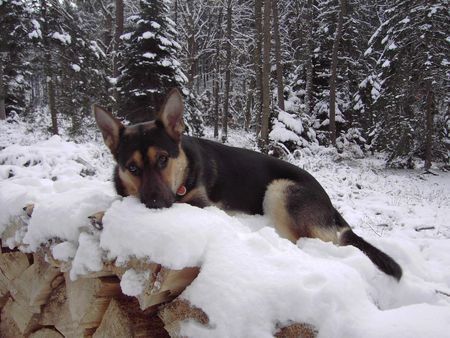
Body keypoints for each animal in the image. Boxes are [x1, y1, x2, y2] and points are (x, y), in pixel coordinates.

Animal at [93, 87, 402, 280]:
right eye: (132, 168)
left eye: (162, 159)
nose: (155, 203)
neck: (184, 171)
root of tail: (331, 205)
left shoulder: (201, 204)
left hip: (278, 190)